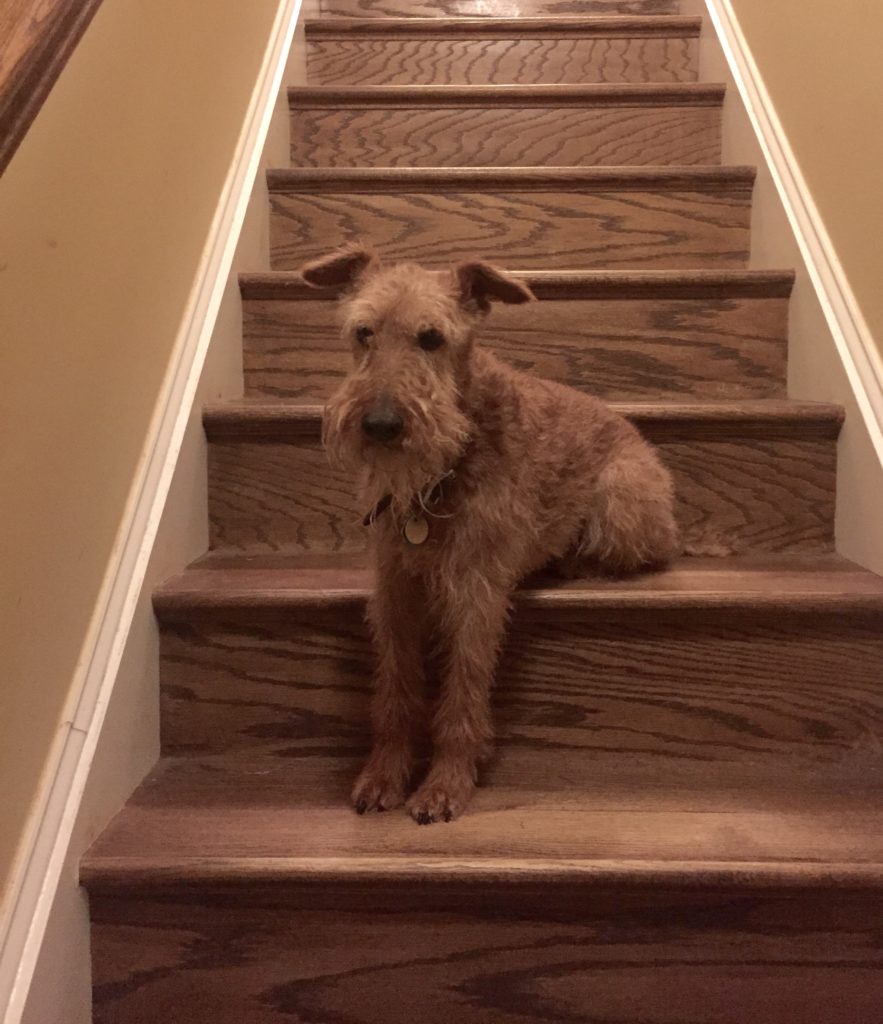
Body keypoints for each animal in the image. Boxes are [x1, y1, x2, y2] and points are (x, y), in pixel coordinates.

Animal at [301, 245, 680, 823]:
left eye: (431, 337)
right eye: (363, 332)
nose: (382, 425)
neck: (440, 479)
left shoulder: (475, 591)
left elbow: (462, 693)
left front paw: (444, 786)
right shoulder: (394, 589)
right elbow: (396, 688)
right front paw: (383, 775)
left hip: (622, 497)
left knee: (637, 554)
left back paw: (577, 560)